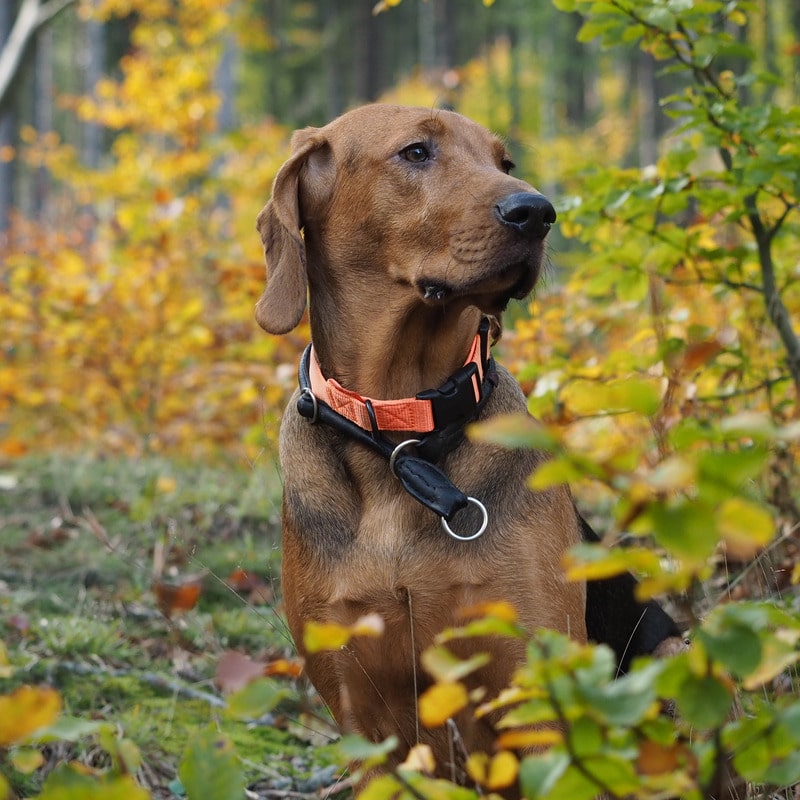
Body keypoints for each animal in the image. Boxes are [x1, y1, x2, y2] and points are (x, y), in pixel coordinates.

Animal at [255, 103, 676, 784]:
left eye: (504, 161)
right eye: (416, 152)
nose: (538, 212)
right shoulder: (362, 719)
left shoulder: (534, 693)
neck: (401, 436)